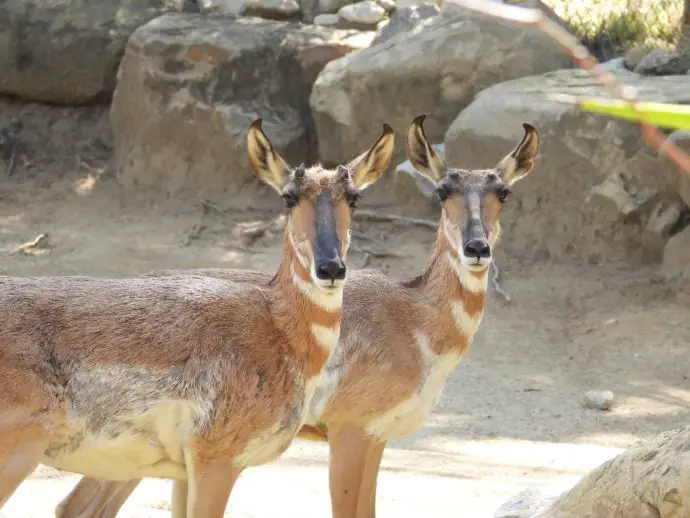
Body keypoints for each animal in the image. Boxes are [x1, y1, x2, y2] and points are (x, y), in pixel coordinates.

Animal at [0, 119, 396, 518]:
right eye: (289, 197)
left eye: (353, 197)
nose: (330, 268)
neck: (277, 327)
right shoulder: (216, 460)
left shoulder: (185, 473)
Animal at [56, 117, 536, 518]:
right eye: (442, 191)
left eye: (503, 192)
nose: (477, 248)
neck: (412, 318)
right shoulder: (350, 430)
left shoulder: (378, 437)